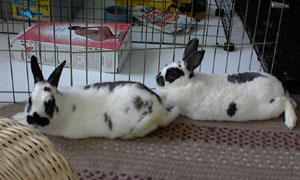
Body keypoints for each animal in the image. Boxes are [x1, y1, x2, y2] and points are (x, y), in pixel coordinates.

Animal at [12, 56, 179, 139]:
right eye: (30, 100)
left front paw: (15, 119)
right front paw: (16, 116)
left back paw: (127, 136)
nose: (33, 117)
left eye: (49, 103)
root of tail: (161, 109)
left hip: (145, 123)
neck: (62, 103)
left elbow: (26, 125)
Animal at [156, 38, 296, 129]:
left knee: (285, 102)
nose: (157, 78)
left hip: (269, 107)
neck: (185, 82)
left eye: (172, 74)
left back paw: (291, 121)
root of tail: (279, 86)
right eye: (165, 65)